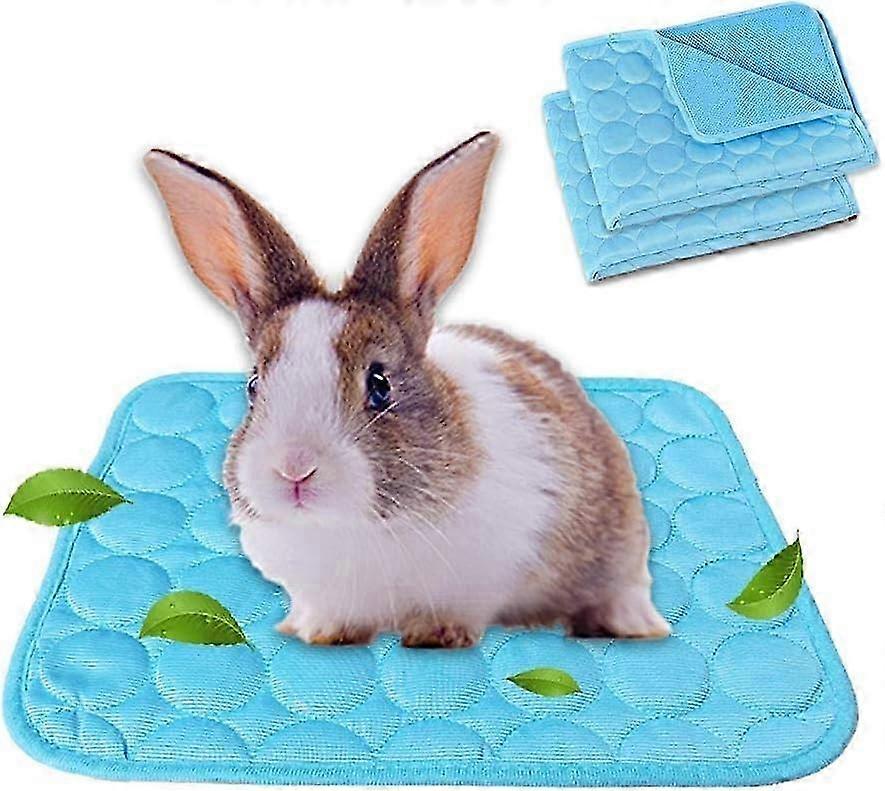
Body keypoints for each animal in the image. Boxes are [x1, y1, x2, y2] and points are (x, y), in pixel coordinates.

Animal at [144, 133, 669, 648]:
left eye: (379, 385)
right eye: (254, 386)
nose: (294, 469)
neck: (347, 529)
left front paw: (437, 635)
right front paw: (323, 634)